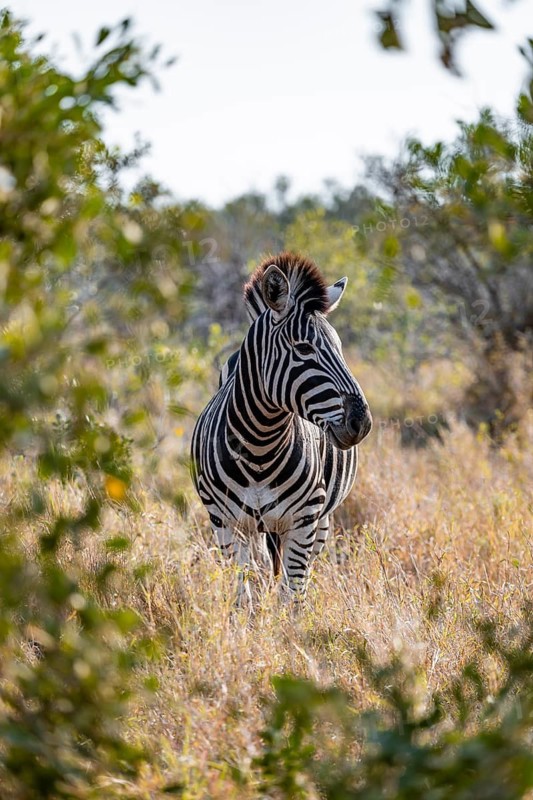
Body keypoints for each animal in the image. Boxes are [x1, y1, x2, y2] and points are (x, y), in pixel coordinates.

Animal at [190, 252, 372, 603]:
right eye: (303, 349)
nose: (362, 423)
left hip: (320, 522)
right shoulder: (225, 524)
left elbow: (292, 598)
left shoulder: (303, 521)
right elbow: (242, 598)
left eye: (341, 348)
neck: (260, 445)